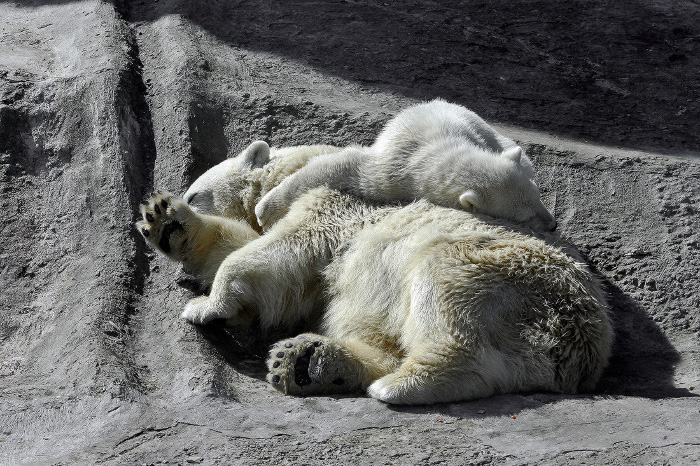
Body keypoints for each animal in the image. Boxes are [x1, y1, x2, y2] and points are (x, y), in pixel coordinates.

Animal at [137, 143, 612, 404]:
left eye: (196, 191)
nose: (184, 199)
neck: (297, 168)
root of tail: (579, 354)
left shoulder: (332, 205)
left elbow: (277, 253)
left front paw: (205, 304)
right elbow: (245, 248)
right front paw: (165, 221)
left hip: (511, 278)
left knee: (446, 291)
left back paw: (400, 384)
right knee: (375, 333)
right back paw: (307, 361)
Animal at [254, 99, 556, 231]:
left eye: (538, 196)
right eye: (524, 216)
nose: (553, 225)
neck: (442, 152)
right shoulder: (395, 170)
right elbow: (344, 166)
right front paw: (264, 210)